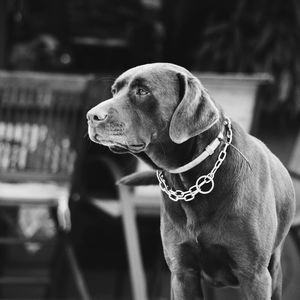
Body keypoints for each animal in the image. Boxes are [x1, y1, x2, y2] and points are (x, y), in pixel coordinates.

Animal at [86, 63, 296, 300]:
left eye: (142, 91)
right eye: (114, 91)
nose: (91, 116)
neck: (192, 181)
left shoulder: (254, 276)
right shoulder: (182, 273)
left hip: (274, 271)